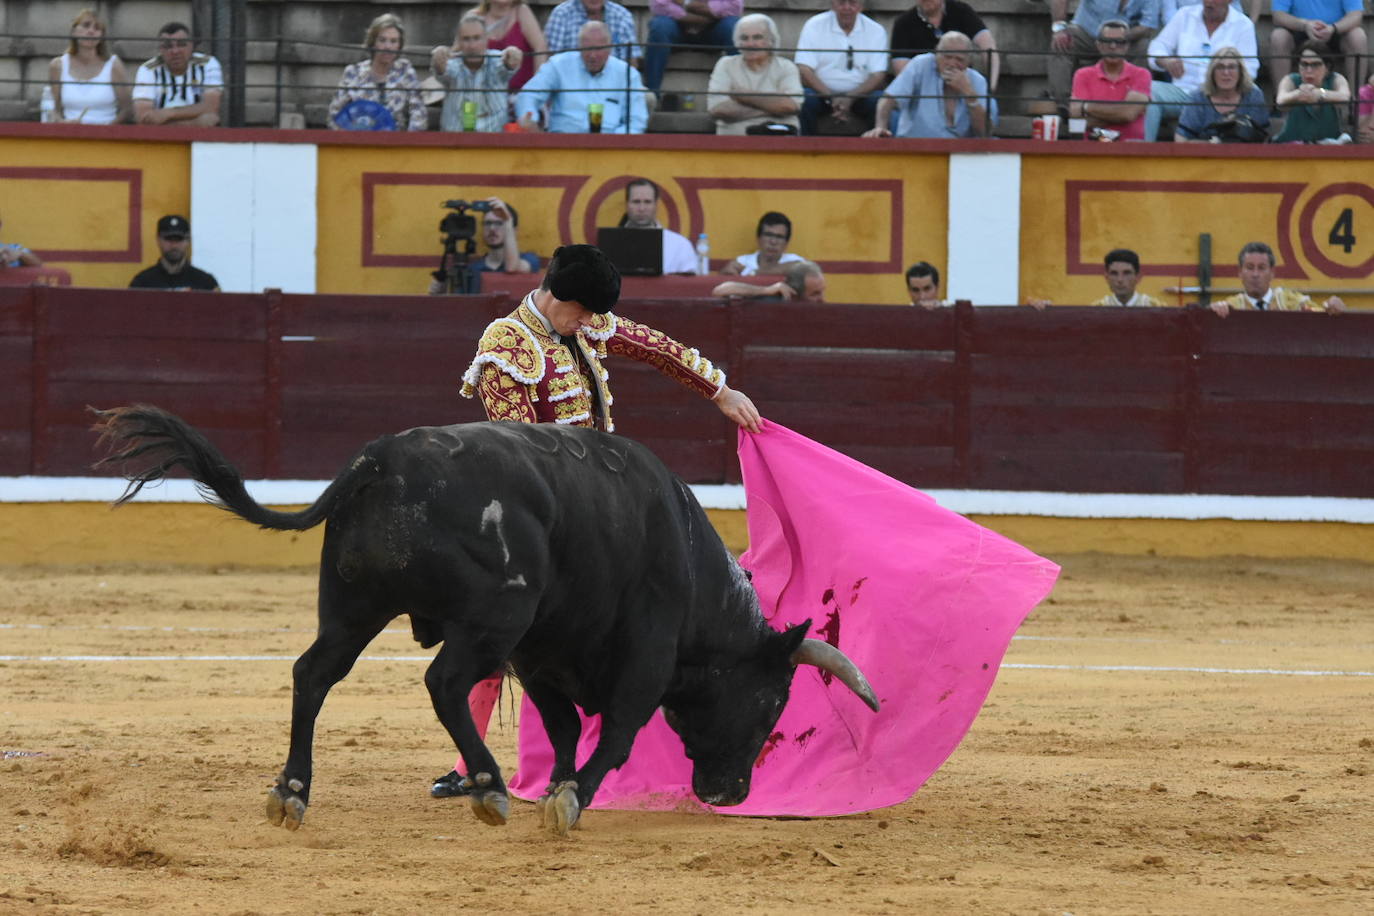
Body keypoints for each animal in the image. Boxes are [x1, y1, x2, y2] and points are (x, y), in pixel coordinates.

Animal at [94, 403, 879, 834]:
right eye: (773, 700)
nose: (730, 792)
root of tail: (378, 461)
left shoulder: (540, 656)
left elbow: (562, 727)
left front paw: (557, 788)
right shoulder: (640, 653)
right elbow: (617, 732)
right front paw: (570, 800)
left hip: (354, 604)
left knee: (313, 673)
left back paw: (292, 792)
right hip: (493, 614)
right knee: (442, 682)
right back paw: (489, 787)